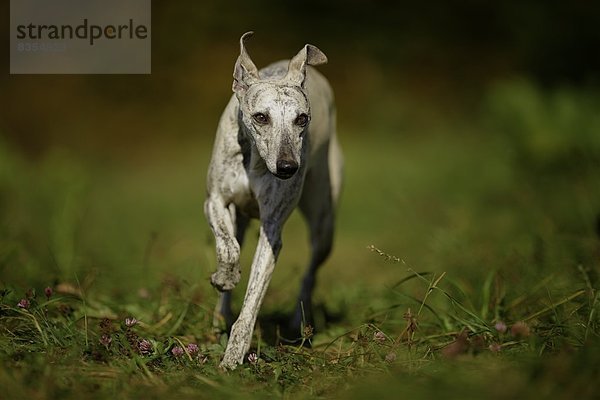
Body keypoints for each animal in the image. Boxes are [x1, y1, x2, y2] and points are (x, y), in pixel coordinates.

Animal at [204, 31, 342, 368]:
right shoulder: (214, 201)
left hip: (324, 224)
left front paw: (233, 357)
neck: (254, 161)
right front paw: (224, 277)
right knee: (235, 243)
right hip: (240, 219)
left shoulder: (272, 231)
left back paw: (297, 323)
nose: (288, 168)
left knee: (310, 273)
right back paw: (219, 315)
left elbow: (252, 300)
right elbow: (228, 248)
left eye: (302, 118)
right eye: (260, 117)